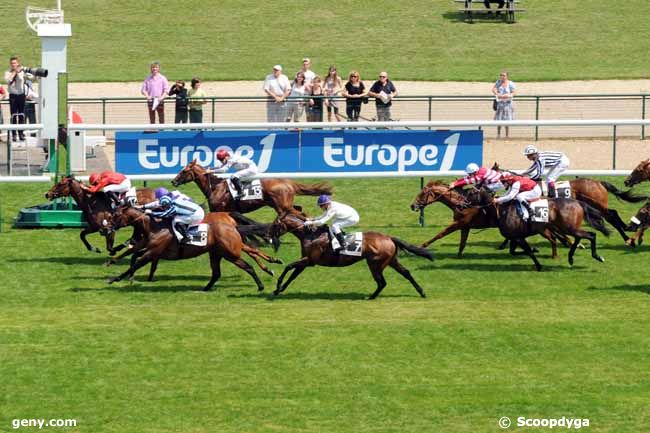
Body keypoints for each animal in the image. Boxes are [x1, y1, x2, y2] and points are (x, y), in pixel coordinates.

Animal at [107, 206, 278, 290]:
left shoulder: (152, 252)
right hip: (217, 253)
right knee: (219, 272)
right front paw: (113, 264)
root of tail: (231, 223)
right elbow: (132, 254)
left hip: (230, 253)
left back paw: (262, 284)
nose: (107, 228)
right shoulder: (151, 250)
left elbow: (135, 262)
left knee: (248, 263)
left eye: (116, 216)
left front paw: (115, 278)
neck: (154, 227)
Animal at [171, 159, 330, 213]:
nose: (173, 181)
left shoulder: (219, 209)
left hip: (282, 206)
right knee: (299, 209)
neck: (215, 187)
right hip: (278, 205)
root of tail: (289, 182)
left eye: (184, 171)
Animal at [268, 208, 430, 298]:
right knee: (406, 273)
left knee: (382, 282)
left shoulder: (310, 260)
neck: (310, 234)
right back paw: (421, 292)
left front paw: (278, 285)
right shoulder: (306, 261)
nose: (269, 238)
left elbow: (288, 267)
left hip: (375, 264)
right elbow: (293, 275)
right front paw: (279, 290)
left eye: (275, 225)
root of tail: (389, 237)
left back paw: (371, 297)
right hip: (391, 261)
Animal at [492, 162, 644, 243]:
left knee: (611, 214)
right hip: (595, 205)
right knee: (611, 214)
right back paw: (626, 232)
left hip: (598, 204)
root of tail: (598, 182)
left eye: (491, 173)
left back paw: (626, 236)